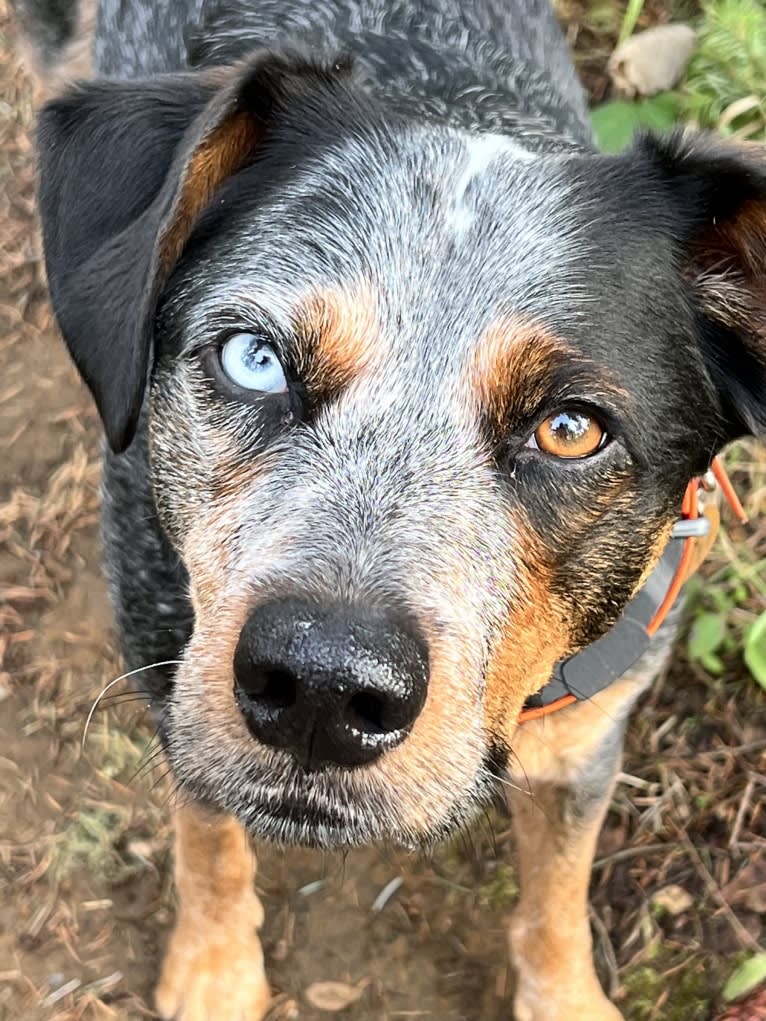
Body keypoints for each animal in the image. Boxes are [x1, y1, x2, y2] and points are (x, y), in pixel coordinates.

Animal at [16, 0, 763, 1016]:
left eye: (573, 427)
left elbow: (557, 894)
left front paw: (563, 994)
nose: (323, 689)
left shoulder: (587, 739)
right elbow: (206, 839)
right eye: (254, 357)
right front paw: (213, 970)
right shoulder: (169, 673)